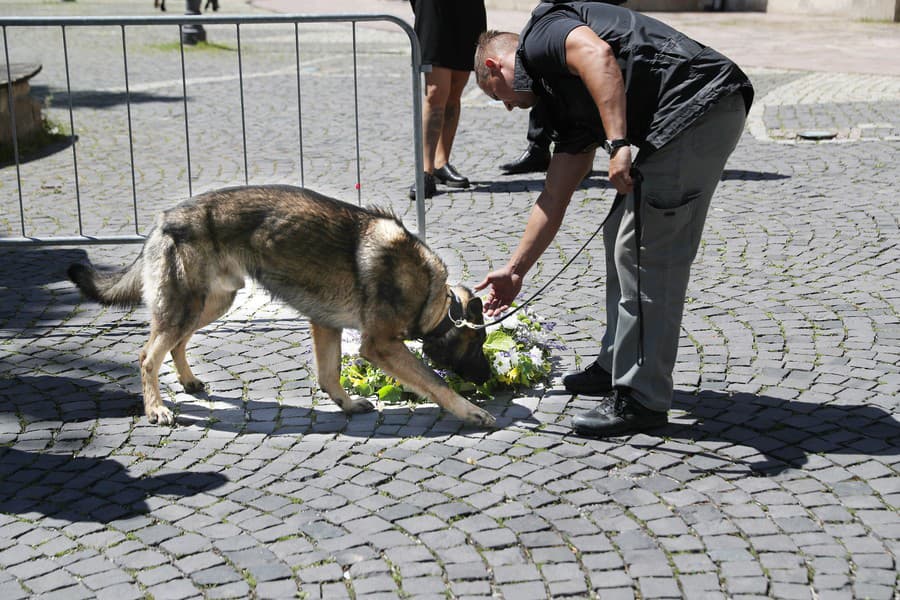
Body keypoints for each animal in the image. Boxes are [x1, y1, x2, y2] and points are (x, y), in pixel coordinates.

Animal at [67, 186, 496, 426]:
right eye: (478, 345)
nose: (489, 377)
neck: (434, 297)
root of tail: (162, 220)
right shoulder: (380, 346)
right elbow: (435, 381)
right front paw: (469, 411)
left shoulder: (326, 326)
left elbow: (329, 376)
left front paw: (346, 404)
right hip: (187, 306)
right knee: (147, 356)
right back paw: (156, 409)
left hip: (210, 303)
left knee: (175, 344)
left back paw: (188, 382)